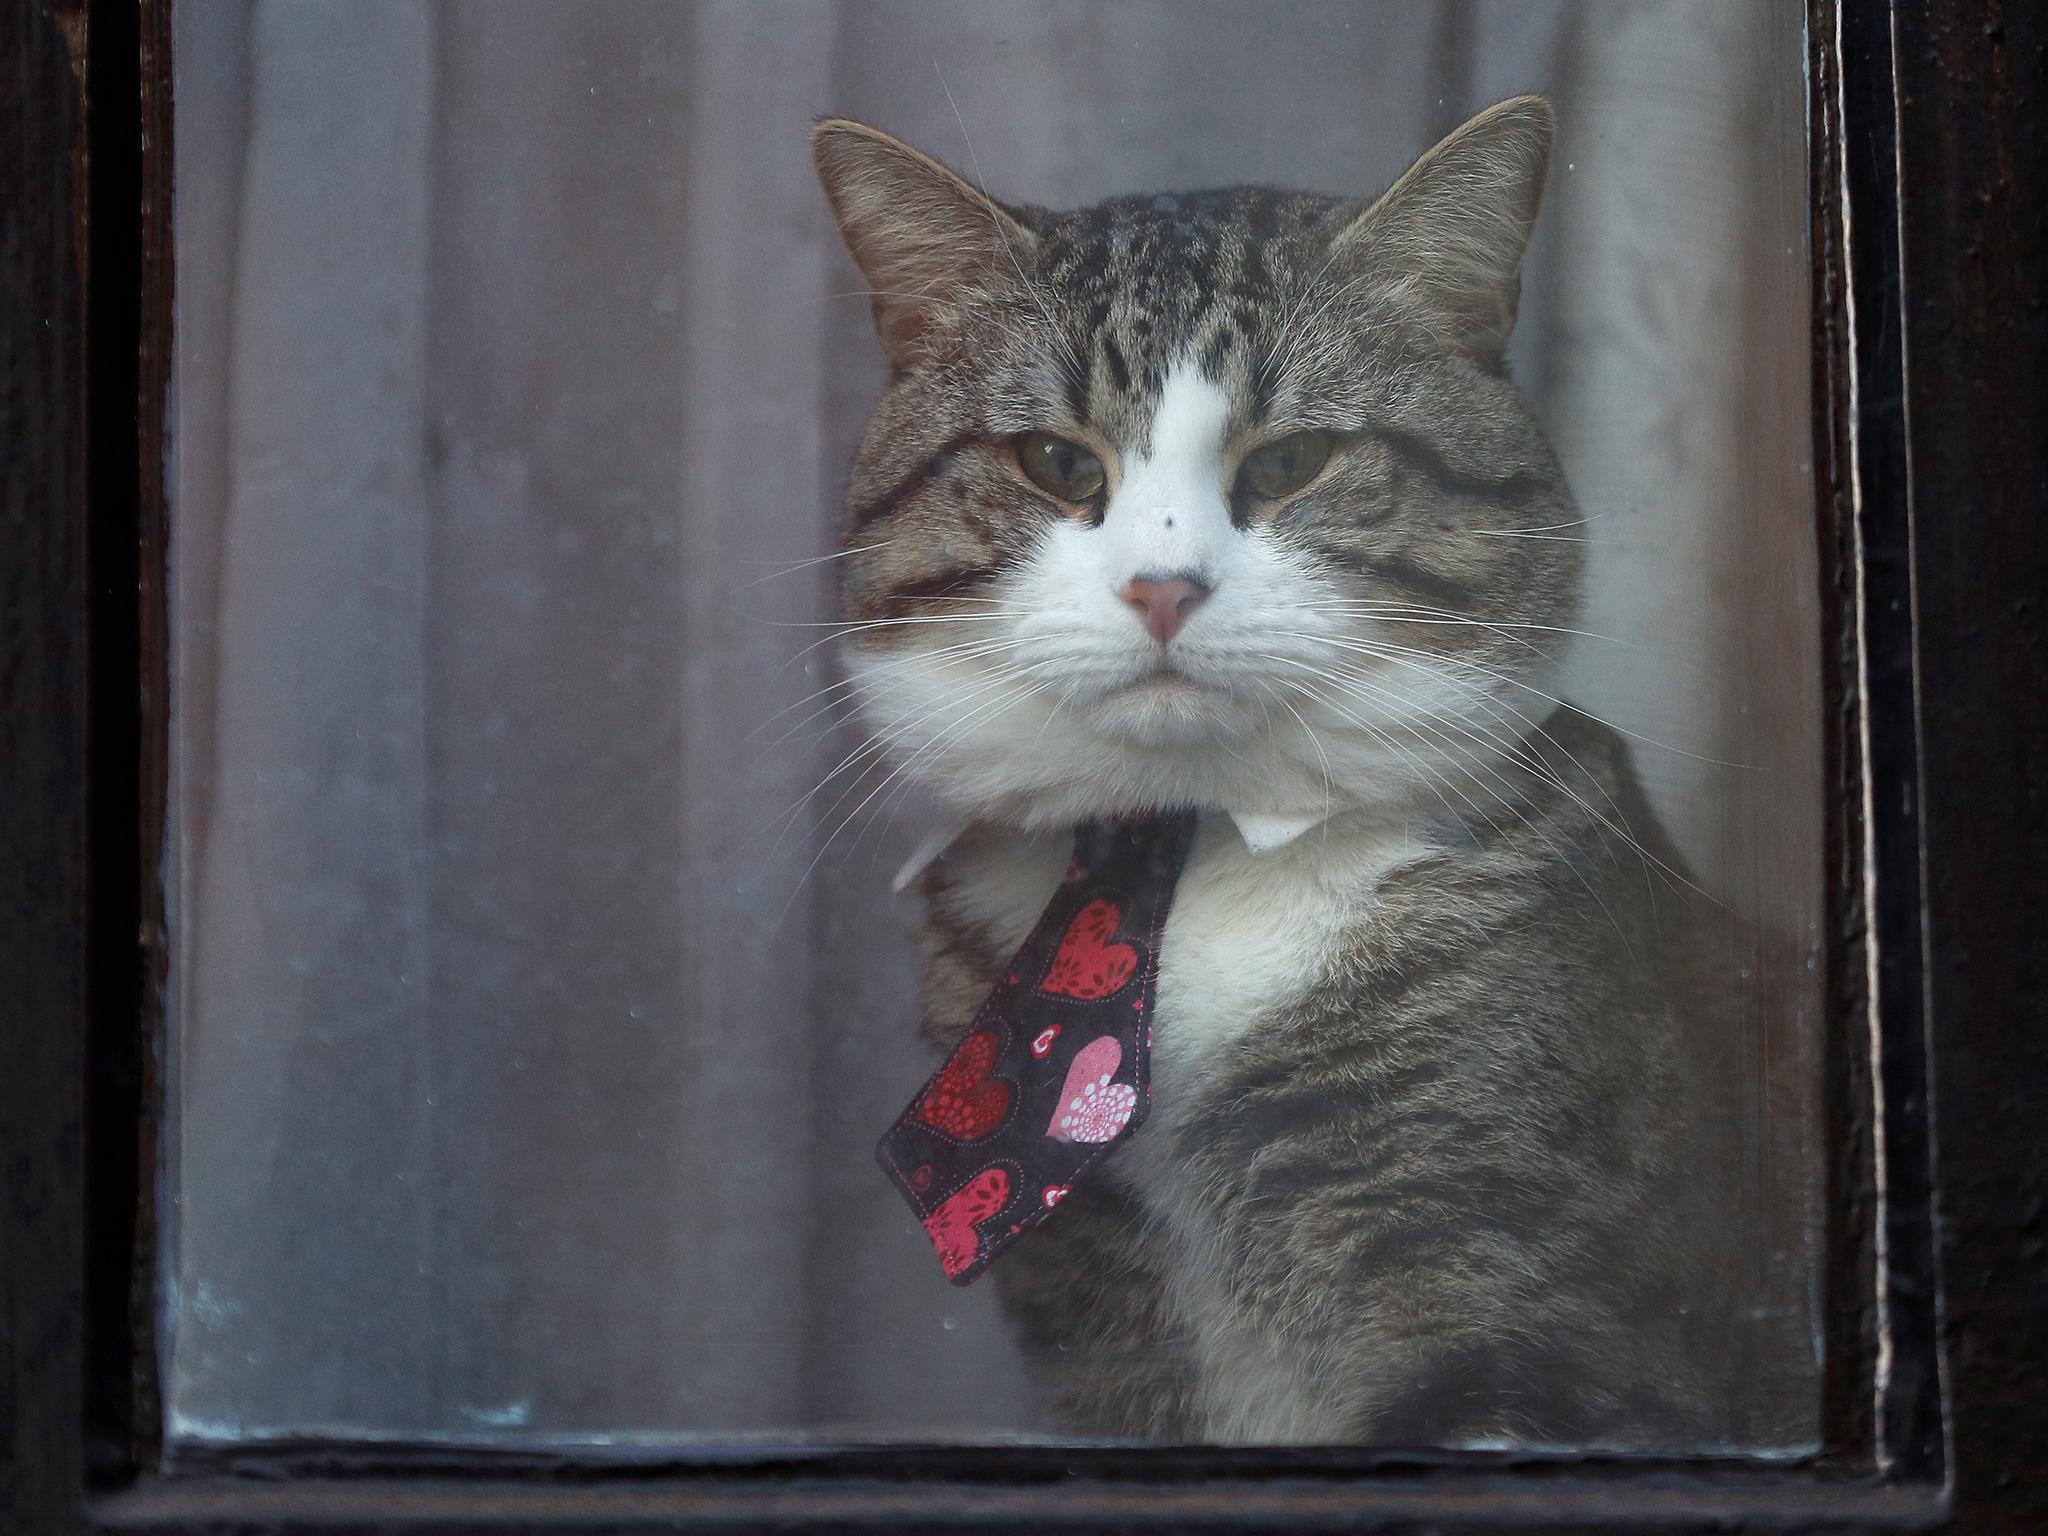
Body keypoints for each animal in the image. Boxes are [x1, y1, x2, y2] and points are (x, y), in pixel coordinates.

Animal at [811, 99, 1810, 1458]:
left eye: (1291, 465)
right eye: (1056, 465)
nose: (1162, 588)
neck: (1189, 864)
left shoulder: (1520, 1312)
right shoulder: (1100, 1337)